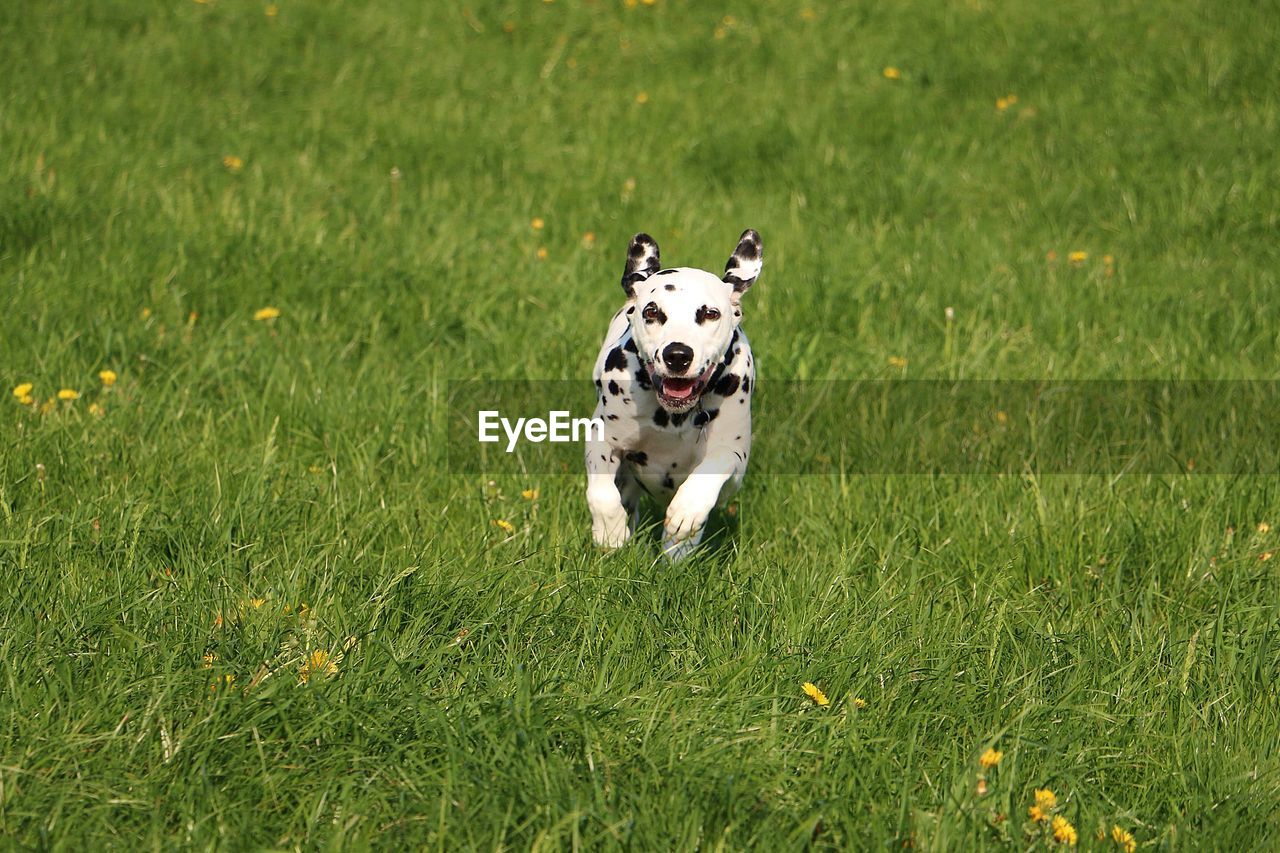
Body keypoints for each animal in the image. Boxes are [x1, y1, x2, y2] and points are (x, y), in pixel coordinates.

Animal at [586, 229, 757, 558]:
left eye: (710, 314)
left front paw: (687, 511)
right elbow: (601, 493)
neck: (673, 416)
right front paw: (610, 532)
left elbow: (713, 467)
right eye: (652, 311)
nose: (677, 354)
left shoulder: (736, 462)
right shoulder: (601, 438)